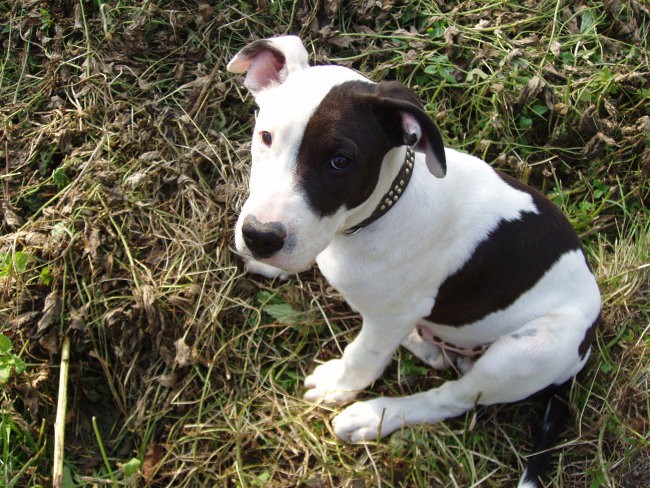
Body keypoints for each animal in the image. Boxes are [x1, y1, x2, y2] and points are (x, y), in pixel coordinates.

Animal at [227, 36, 596, 486]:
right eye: (265, 137)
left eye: (340, 161)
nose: (260, 236)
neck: (380, 211)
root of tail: (584, 348)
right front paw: (267, 263)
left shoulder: (392, 316)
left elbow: (363, 355)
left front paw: (339, 386)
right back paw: (426, 346)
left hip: (530, 351)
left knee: (451, 397)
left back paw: (374, 416)